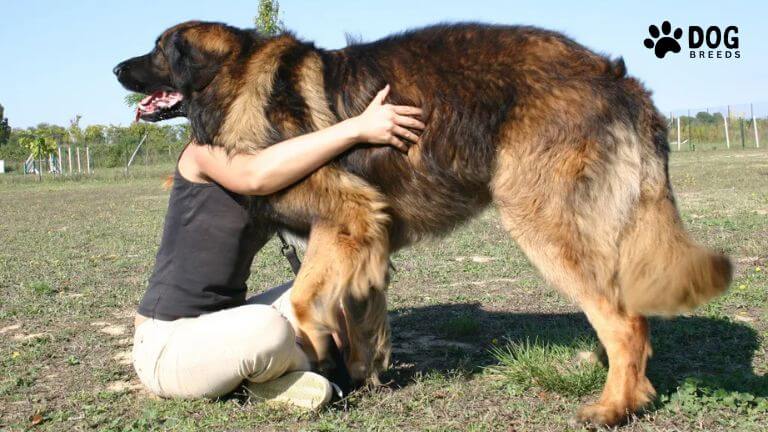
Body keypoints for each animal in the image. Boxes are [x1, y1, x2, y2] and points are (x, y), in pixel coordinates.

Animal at [115, 21, 732, 426]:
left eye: (160, 48)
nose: (117, 67)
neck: (241, 81)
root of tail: (617, 79)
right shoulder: (363, 236)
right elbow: (357, 314)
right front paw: (360, 375)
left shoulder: (348, 216)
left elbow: (305, 303)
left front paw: (321, 350)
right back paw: (621, 385)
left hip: (541, 222)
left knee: (624, 320)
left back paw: (612, 407)